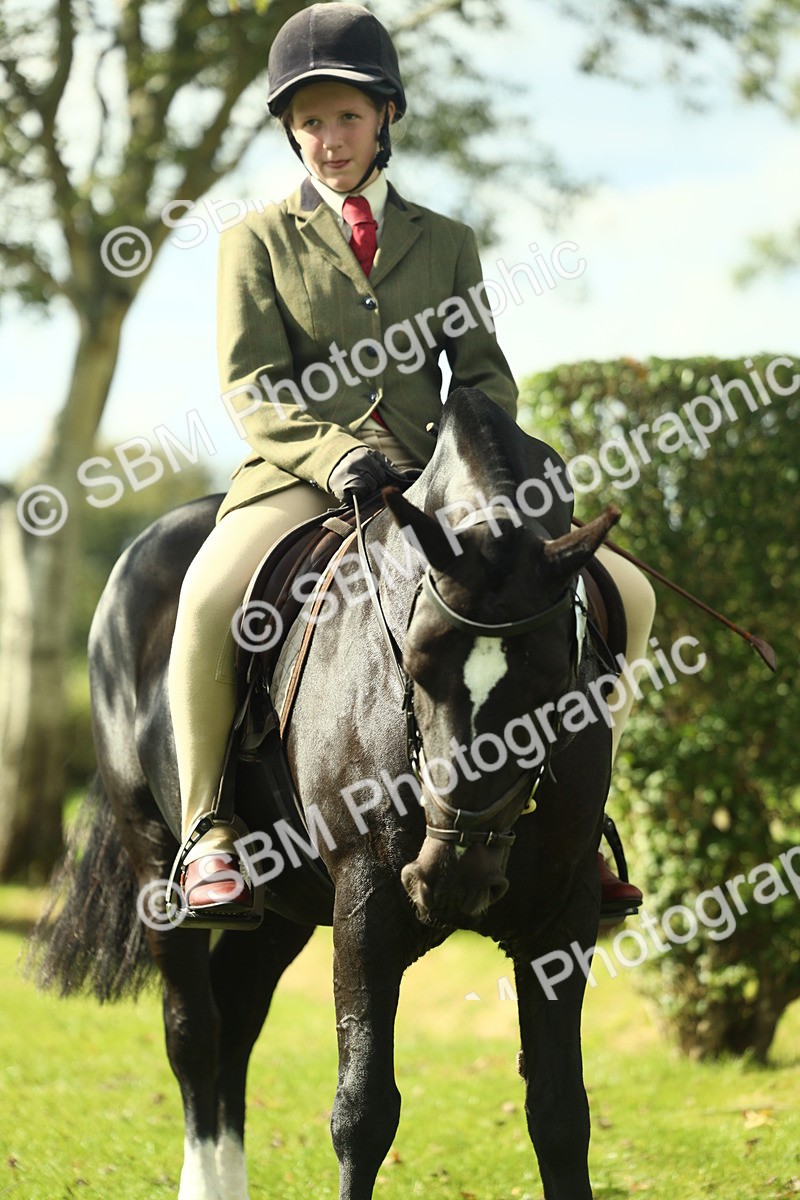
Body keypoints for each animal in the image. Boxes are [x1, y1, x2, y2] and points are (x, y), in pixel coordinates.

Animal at [31, 387, 621, 1200]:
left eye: (551, 678)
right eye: (418, 659)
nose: (454, 874)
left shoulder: (563, 913)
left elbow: (562, 1114)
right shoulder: (367, 899)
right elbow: (363, 1110)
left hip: (287, 902)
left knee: (238, 1015)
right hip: (155, 860)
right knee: (195, 1030)